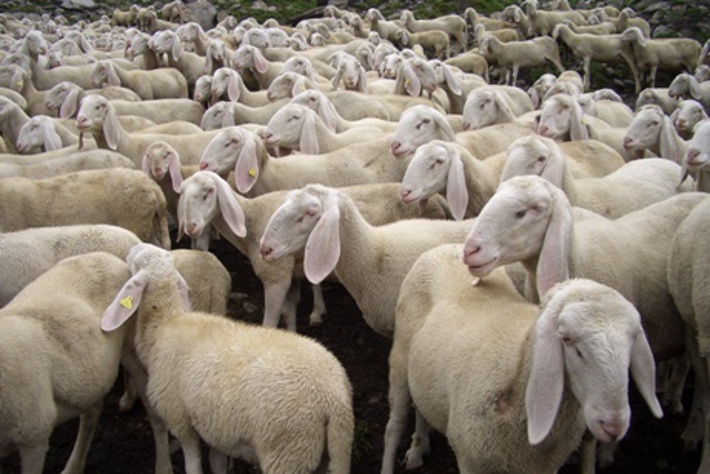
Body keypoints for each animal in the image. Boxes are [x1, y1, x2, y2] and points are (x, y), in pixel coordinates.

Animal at [0, 251, 172, 474]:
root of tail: (106, 256)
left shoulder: (33, 438)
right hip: (87, 374)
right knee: (92, 410)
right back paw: (74, 466)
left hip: (132, 347)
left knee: (154, 412)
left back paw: (163, 466)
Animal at [101, 242, 354, 473]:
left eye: (137, 262)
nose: (131, 247)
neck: (164, 323)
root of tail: (334, 400)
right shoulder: (216, 427)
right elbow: (217, 463)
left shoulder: (181, 421)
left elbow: (193, 466)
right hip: (325, 451)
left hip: (288, 451)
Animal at [382, 249, 662, 473]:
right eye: (567, 339)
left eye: (632, 340)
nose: (613, 426)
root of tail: (442, 248)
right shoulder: (473, 461)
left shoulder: (545, 466)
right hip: (400, 359)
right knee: (394, 426)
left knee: (421, 403)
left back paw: (419, 446)